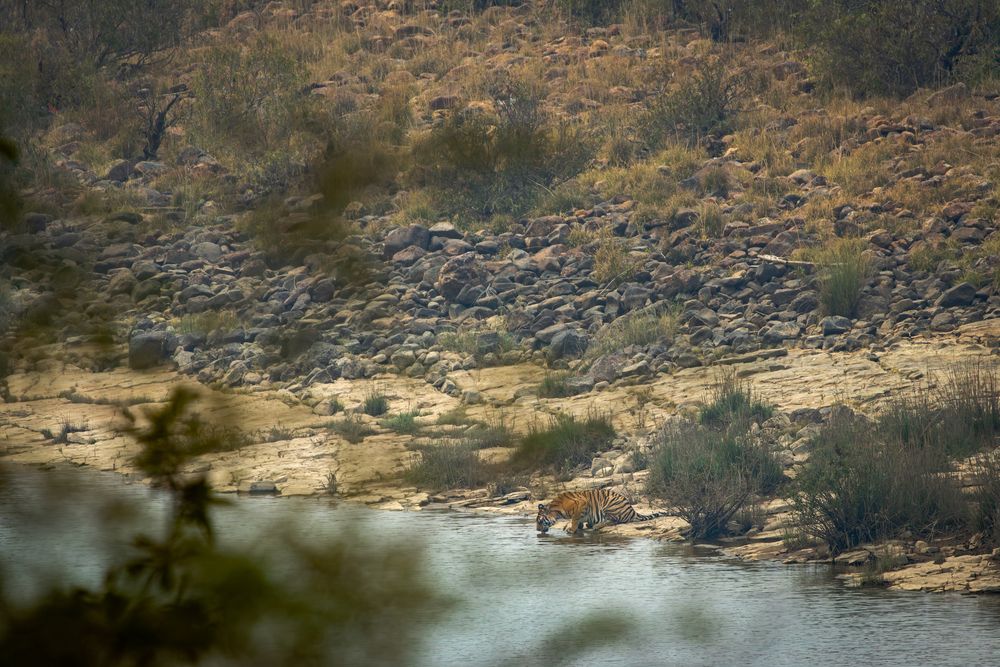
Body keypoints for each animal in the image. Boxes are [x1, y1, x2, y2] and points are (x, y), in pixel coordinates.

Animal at [535, 489, 668, 534]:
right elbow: (578, 521)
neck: (556, 510)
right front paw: (579, 527)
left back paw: (596, 525)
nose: (536, 530)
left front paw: (571, 530)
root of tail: (632, 510)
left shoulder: (581, 503)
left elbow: (574, 519)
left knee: (615, 521)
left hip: (609, 503)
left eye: (540, 521)